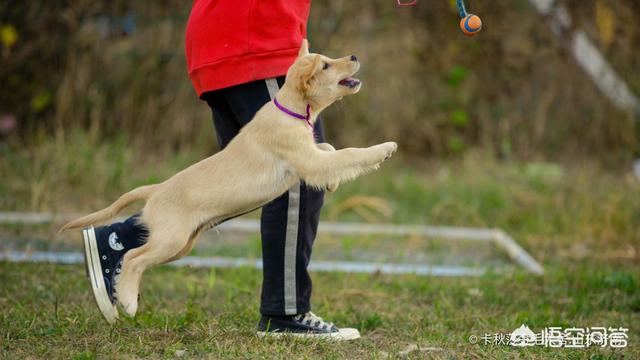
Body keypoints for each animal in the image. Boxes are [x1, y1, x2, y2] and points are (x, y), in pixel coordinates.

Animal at [62, 40, 398, 320]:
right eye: (326, 65)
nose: (353, 56)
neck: (289, 110)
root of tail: (156, 189)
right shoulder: (307, 160)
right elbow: (348, 154)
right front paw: (384, 149)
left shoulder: (310, 157)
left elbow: (329, 148)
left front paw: (333, 183)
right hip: (172, 239)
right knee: (132, 258)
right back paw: (129, 303)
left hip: (180, 243)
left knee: (133, 253)